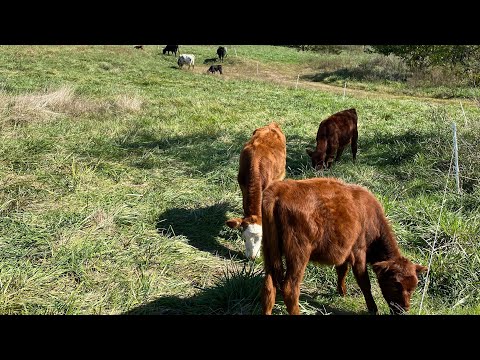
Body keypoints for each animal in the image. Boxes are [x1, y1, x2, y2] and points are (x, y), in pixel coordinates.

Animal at [262, 178, 428, 316]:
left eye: (413, 287)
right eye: (395, 285)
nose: (404, 309)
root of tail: (278, 190)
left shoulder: (345, 252)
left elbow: (342, 270)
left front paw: (342, 292)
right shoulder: (359, 251)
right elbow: (364, 282)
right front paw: (373, 308)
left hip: (269, 253)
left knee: (269, 287)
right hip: (298, 255)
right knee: (290, 289)